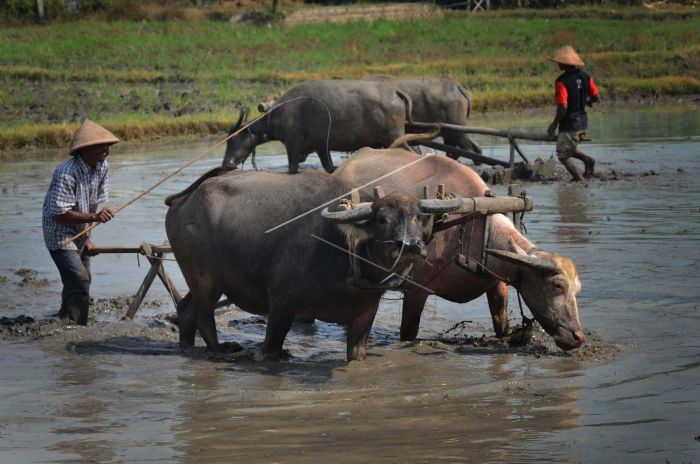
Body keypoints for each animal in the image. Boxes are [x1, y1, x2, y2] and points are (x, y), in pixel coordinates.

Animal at [163, 169, 460, 360]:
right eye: (381, 219)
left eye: (419, 216)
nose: (409, 245)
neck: (343, 250)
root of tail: (182, 201)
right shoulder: (281, 305)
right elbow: (269, 350)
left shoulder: (365, 314)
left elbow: (357, 353)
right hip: (205, 278)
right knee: (204, 316)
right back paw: (218, 351)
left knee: (186, 310)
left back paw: (187, 347)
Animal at [221, 80, 412, 174]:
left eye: (233, 139)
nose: (226, 164)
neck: (275, 117)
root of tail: (396, 92)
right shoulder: (320, 147)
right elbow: (329, 168)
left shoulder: (292, 145)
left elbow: (292, 169)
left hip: (394, 137)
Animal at [336, 150, 588, 352]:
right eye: (557, 286)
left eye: (577, 290)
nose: (578, 337)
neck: (473, 225)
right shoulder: (417, 290)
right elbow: (408, 333)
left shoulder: (496, 283)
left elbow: (502, 327)